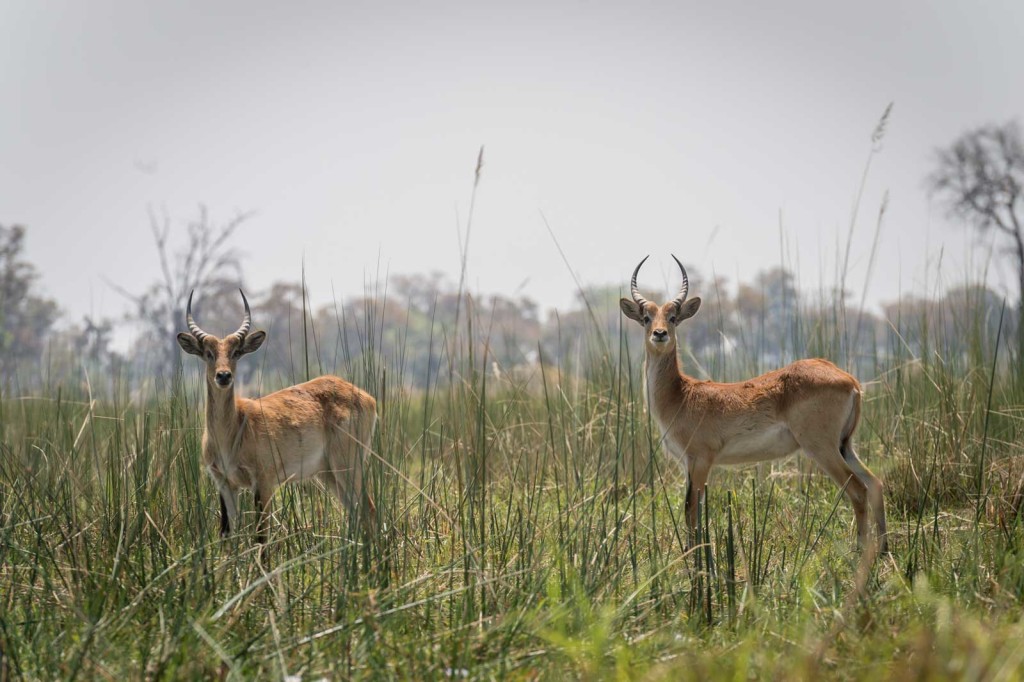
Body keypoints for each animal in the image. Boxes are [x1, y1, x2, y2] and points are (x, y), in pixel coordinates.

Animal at [178, 288, 378, 548]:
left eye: (235, 352)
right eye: (208, 353)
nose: (223, 376)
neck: (233, 429)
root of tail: (367, 396)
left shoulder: (263, 482)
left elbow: (261, 538)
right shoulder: (224, 483)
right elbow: (227, 535)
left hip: (348, 466)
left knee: (368, 509)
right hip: (328, 474)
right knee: (355, 511)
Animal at [618, 256, 884, 552]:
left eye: (673, 317)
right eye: (646, 317)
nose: (660, 333)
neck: (680, 395)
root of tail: (850, 380)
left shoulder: (701, 460)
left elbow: (691, 509)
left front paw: (694, 554)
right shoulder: (688, 464)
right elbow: (691, 508)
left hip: (821, 448)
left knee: (858, 490)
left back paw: (859, 551)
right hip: (844, 445)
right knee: (876, 484)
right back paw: (883, 549)